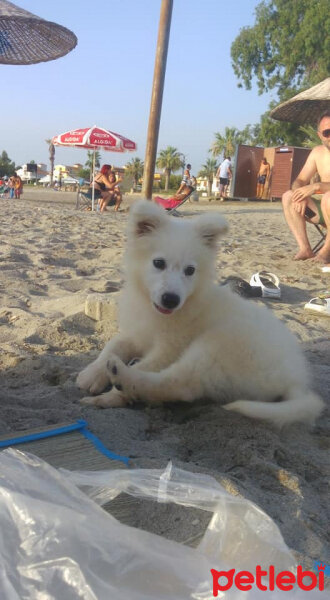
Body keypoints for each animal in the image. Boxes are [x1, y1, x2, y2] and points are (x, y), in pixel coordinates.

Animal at [76, 202, 322, 426]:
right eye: (158, 263)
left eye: (190, 270)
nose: (171, 299)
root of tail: (296, 381)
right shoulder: (138, 332)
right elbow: (113, 345)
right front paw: (91, 374)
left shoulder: (169, 349)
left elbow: (146, 364)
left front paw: (110, 384)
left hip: (217, 346)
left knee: (177, 384)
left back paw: (118, 383)